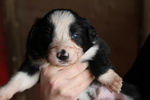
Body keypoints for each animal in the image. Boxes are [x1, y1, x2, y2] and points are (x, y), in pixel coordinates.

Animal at [0, 8, 137, 100]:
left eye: (75, 35)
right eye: (47, 36)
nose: (62, 55)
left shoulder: (97, 48)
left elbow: (99, 64)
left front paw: (111, 80)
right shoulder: (33, 63)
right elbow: (19, 79)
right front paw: (3, 92)